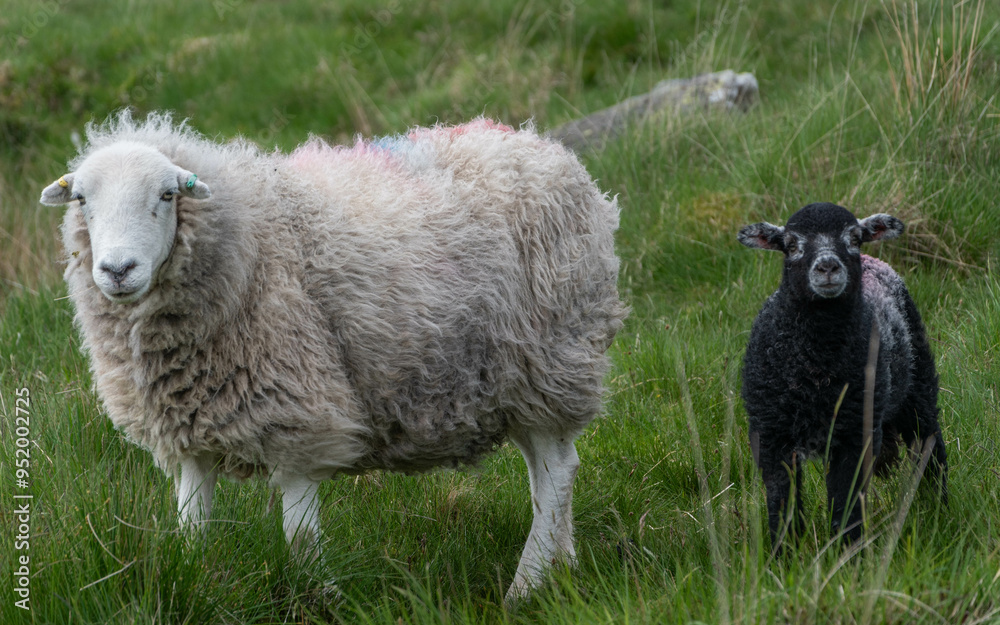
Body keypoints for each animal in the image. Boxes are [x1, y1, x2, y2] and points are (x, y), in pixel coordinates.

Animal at [39, 111, 627, 603]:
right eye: (82, 200)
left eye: (166, 194)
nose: (117, 270)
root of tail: (541, 145)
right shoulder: (189, 429)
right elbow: (192, 529)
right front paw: (198, 580)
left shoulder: (299, 413)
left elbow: (299, 536)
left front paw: (319, 598)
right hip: (513, 380)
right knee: (544, 471)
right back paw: (561, 568)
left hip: (551, 358)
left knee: (557, 471)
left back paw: (524, 587)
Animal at [737, 202, 947, 550]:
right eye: (791, 244)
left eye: (854, 238)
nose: (827, 267)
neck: (816, 370)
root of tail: (876, 261)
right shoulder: (771, 436)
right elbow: (782, 505)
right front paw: (785, 557)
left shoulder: (855, 434)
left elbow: (845, 505)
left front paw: (848, 555)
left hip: (918, 383)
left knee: (929, 446)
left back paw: (939, 508)